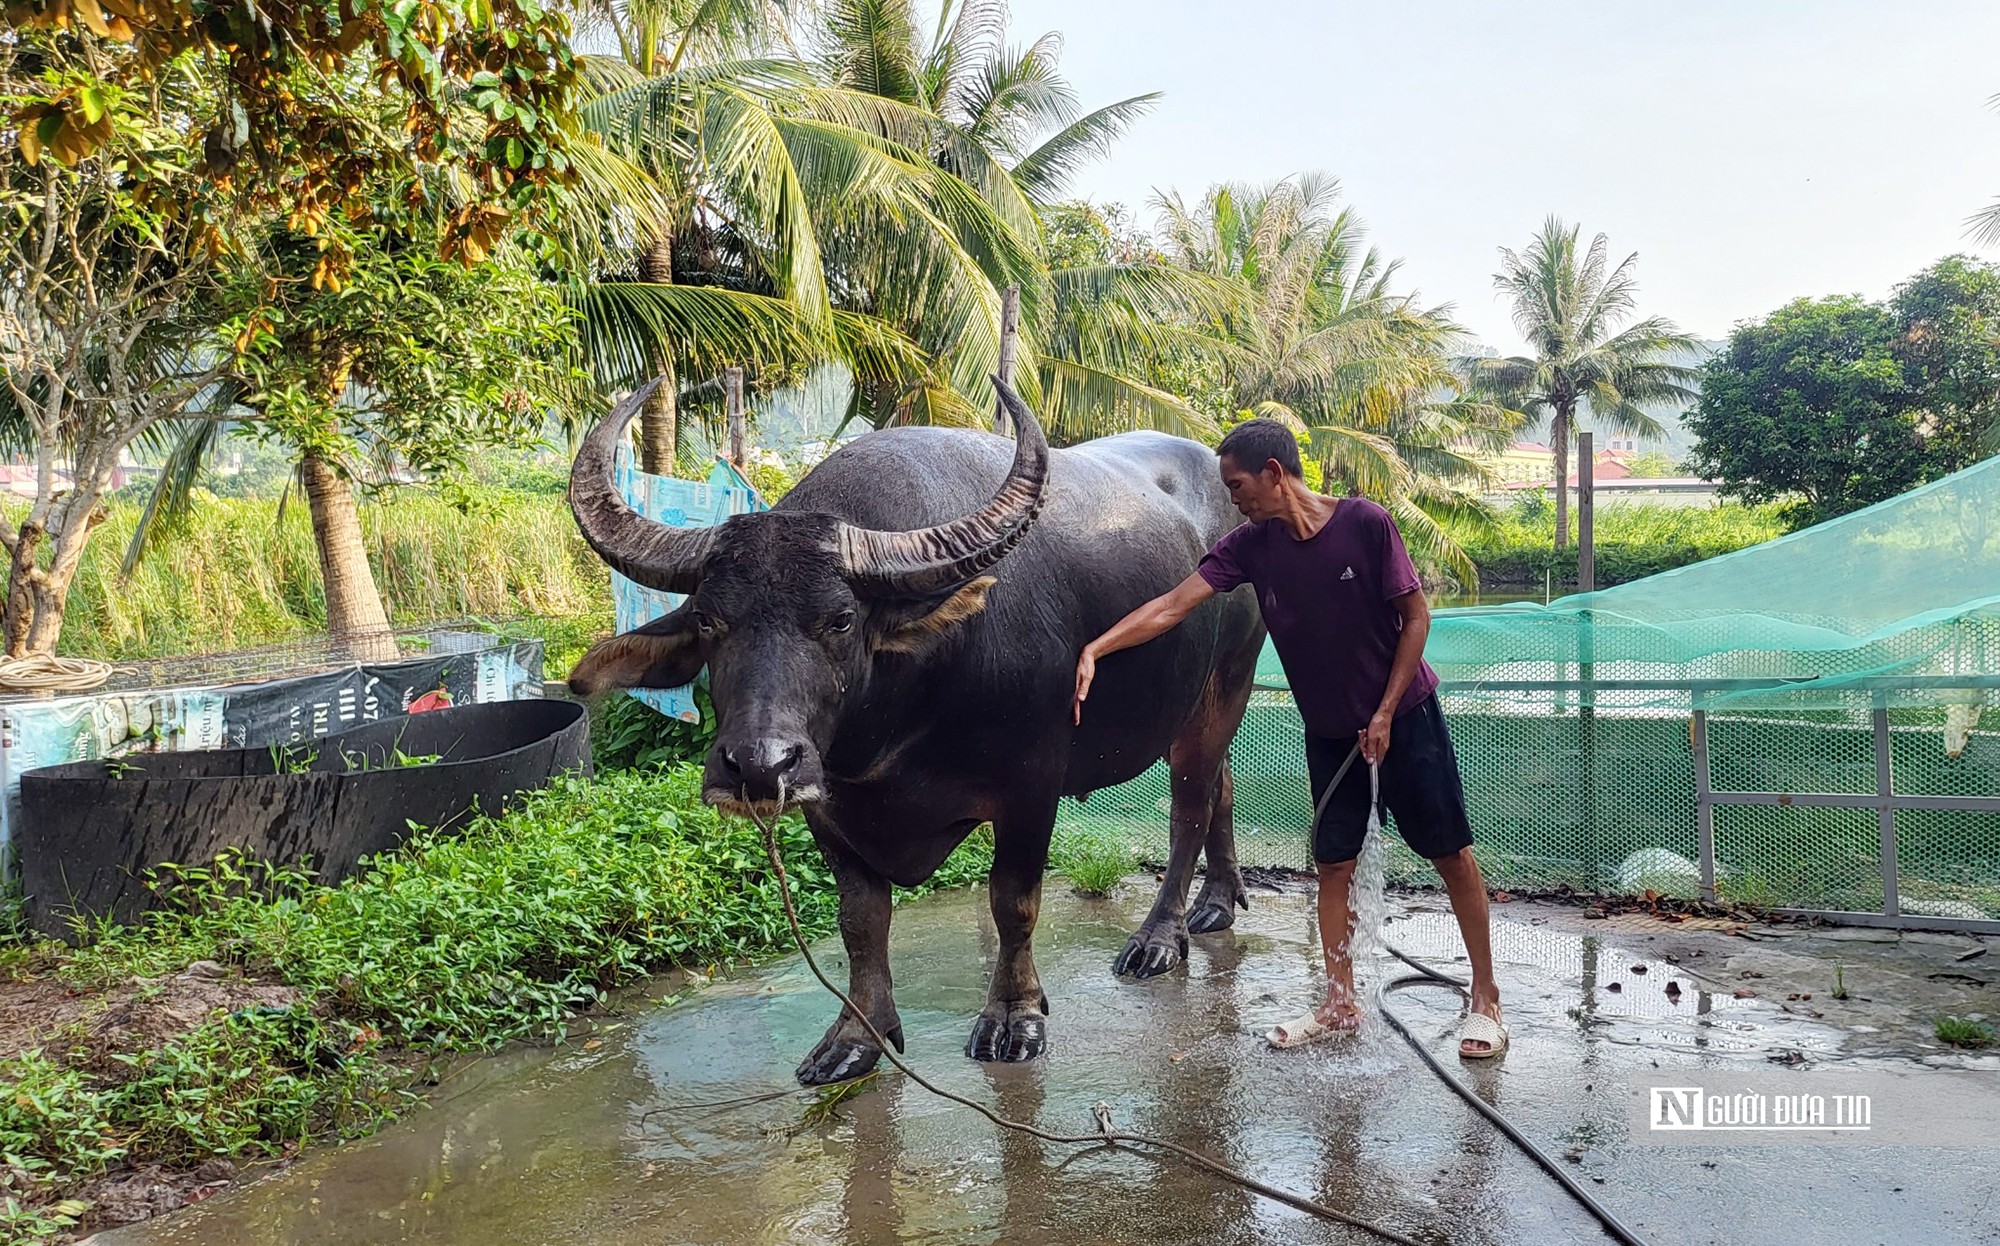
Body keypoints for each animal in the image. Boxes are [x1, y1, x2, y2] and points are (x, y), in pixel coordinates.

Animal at [564, 378, 1256, 1080]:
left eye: (841, 619)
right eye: (707, 620)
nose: (758, 765)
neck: (898, 722)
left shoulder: (1031, 790)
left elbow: (1013, 902)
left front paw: (1014, 1016)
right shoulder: (826, 804)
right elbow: (860, 919)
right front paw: (854, 1036)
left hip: (1227, 680)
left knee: (1191, 806)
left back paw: (1159, 937)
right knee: (1222, 782)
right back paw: (1217, 901)